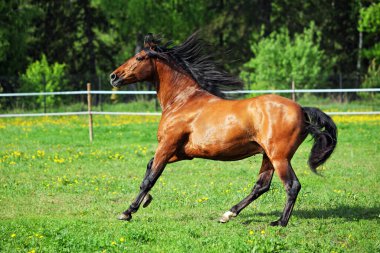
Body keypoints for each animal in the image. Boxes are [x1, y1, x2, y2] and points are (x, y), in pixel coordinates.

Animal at [108, 32, 336, 226]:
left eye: (139, 58)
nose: (113, 76)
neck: (182, 101)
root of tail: (301, 110)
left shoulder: (167, 145)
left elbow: (150, 178)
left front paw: (128, 211)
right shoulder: (182, 152)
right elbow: (149, 167)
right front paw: (146, 201)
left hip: (279, 157)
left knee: (292, 185)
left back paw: (279, 222)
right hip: (268, 156)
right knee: (261, 186)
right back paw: (228, 214)